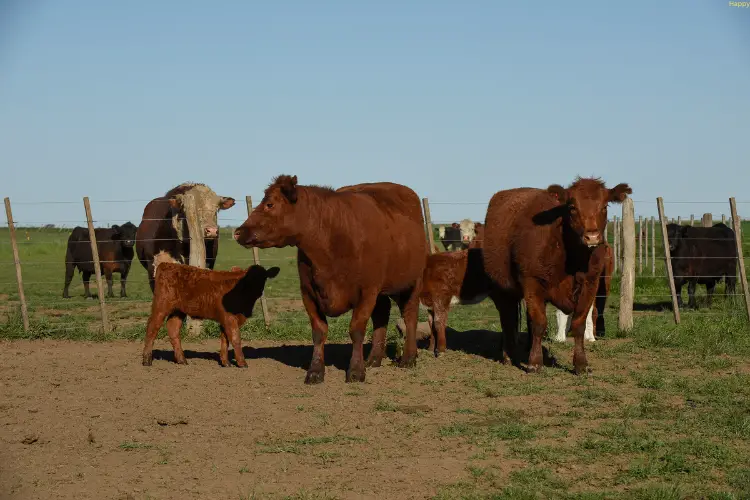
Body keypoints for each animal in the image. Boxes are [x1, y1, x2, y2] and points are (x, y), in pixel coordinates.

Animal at [142, 252, 280, 366]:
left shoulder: (227, 319)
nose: (258, 291)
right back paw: (147, 360)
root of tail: (166, 264)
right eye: (248, 279)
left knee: (173, 328)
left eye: (264, 278)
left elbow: (225, 339)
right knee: (152, 327)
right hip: (161, 306)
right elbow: (235, 338)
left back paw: (182, 360)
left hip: (178, 310)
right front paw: (242, 363)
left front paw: (225, 362)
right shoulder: (229, 318)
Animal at [234, 174, 428, 384]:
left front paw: (356, 370)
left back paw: (408, 358)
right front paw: (315, 371)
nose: (237, 232)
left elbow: (356, 330)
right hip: (382, 291)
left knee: (410, 315)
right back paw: (373, 359)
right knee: (381, 314)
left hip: (411, 283)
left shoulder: (367, 291)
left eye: (269, 204)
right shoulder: (308, 292)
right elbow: (319, 331)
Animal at [484, 178, 632, 374]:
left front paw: (581, 364)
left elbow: (578, 324)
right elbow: (539, 323)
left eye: (604, 206)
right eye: (572, 207)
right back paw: (508, 355)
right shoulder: (532, 282)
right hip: (502, 289)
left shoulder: (590, 285)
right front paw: (535, 363)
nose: (592, 237)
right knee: (508, 320)